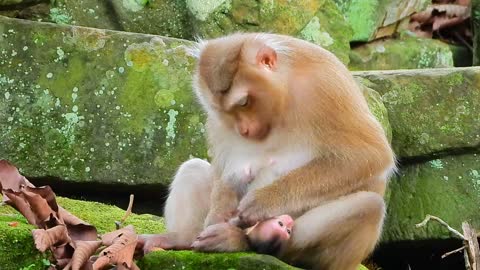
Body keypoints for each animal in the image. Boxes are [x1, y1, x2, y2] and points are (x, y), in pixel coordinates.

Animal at [163, 32, 396, 268]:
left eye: (244, 102)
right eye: (223, 111)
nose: (244, 129)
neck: (286, 87)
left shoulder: (327, 86)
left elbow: (369, 154)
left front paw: (263, 201)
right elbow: (224, 166)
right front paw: (218, 215)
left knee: (369, 205)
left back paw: (242, 240)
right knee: (192, 169)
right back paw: (183, 239)